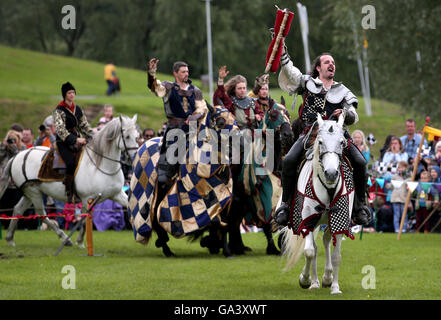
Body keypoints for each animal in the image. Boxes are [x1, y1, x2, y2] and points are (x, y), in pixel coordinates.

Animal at [0, 115, 138, 248]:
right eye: (127, 136)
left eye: (137, 136)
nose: (135, 156)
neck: (100, 165)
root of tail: (18, 156)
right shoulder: (87, 199)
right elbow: (84, 220)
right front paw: (80, 242)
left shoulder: (116, 194)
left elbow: (132, 208)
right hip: (33, 192)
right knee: (41, 214)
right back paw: (65, 239)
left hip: (30, 193)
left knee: (18, 209)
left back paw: (10, 238)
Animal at [278, 113, 354, 296]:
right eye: (320, 142)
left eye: (342, 142)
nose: (331, 173)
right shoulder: (308, 219)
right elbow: (309, 251)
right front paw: (305, 280)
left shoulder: (340, 220)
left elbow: (336, 256)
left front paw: (335, 287)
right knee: (315, 247)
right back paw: (314, 282)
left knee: (326, 240)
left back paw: (326, 278)